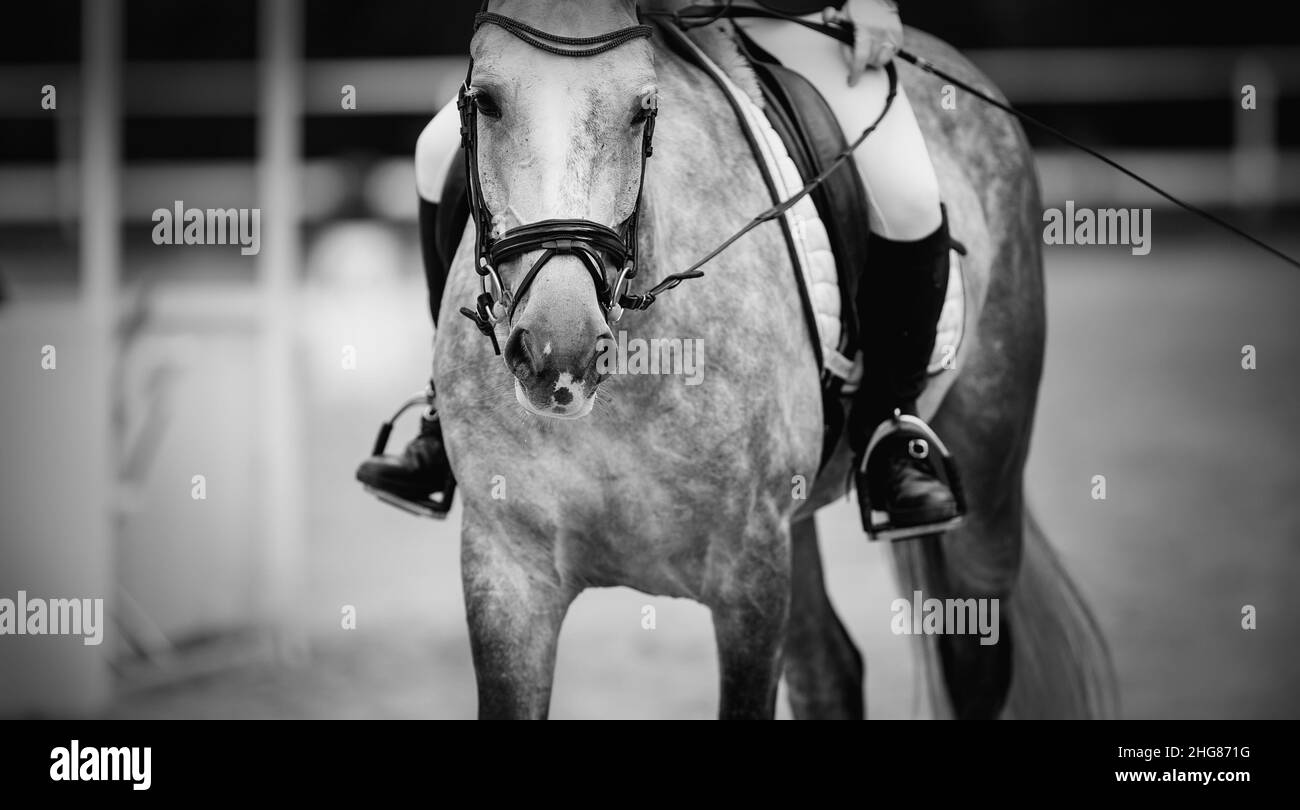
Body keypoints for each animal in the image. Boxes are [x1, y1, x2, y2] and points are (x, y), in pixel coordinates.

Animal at [431, 0, 1114, 719]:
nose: (557, 350)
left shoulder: (751, 576)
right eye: (486, 101)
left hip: (986, 471)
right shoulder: (506, 572)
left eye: (643, 109)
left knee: (973, 659)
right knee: (830, 671)